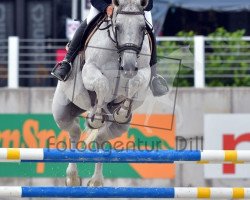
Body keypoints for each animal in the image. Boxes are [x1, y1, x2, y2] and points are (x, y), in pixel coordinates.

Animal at [52, 0, 151, 187]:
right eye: (117, 27)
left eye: (142, 28)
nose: (128, 67)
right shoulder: (90, 70)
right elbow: (102, 85)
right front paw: (96, 118)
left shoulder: (144, 71)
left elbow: (135, 82)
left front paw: (122, 111)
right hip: (62, 112)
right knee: (74, 132)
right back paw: (72, 178)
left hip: (120, 127)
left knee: (100, 139)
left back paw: (96, 181)